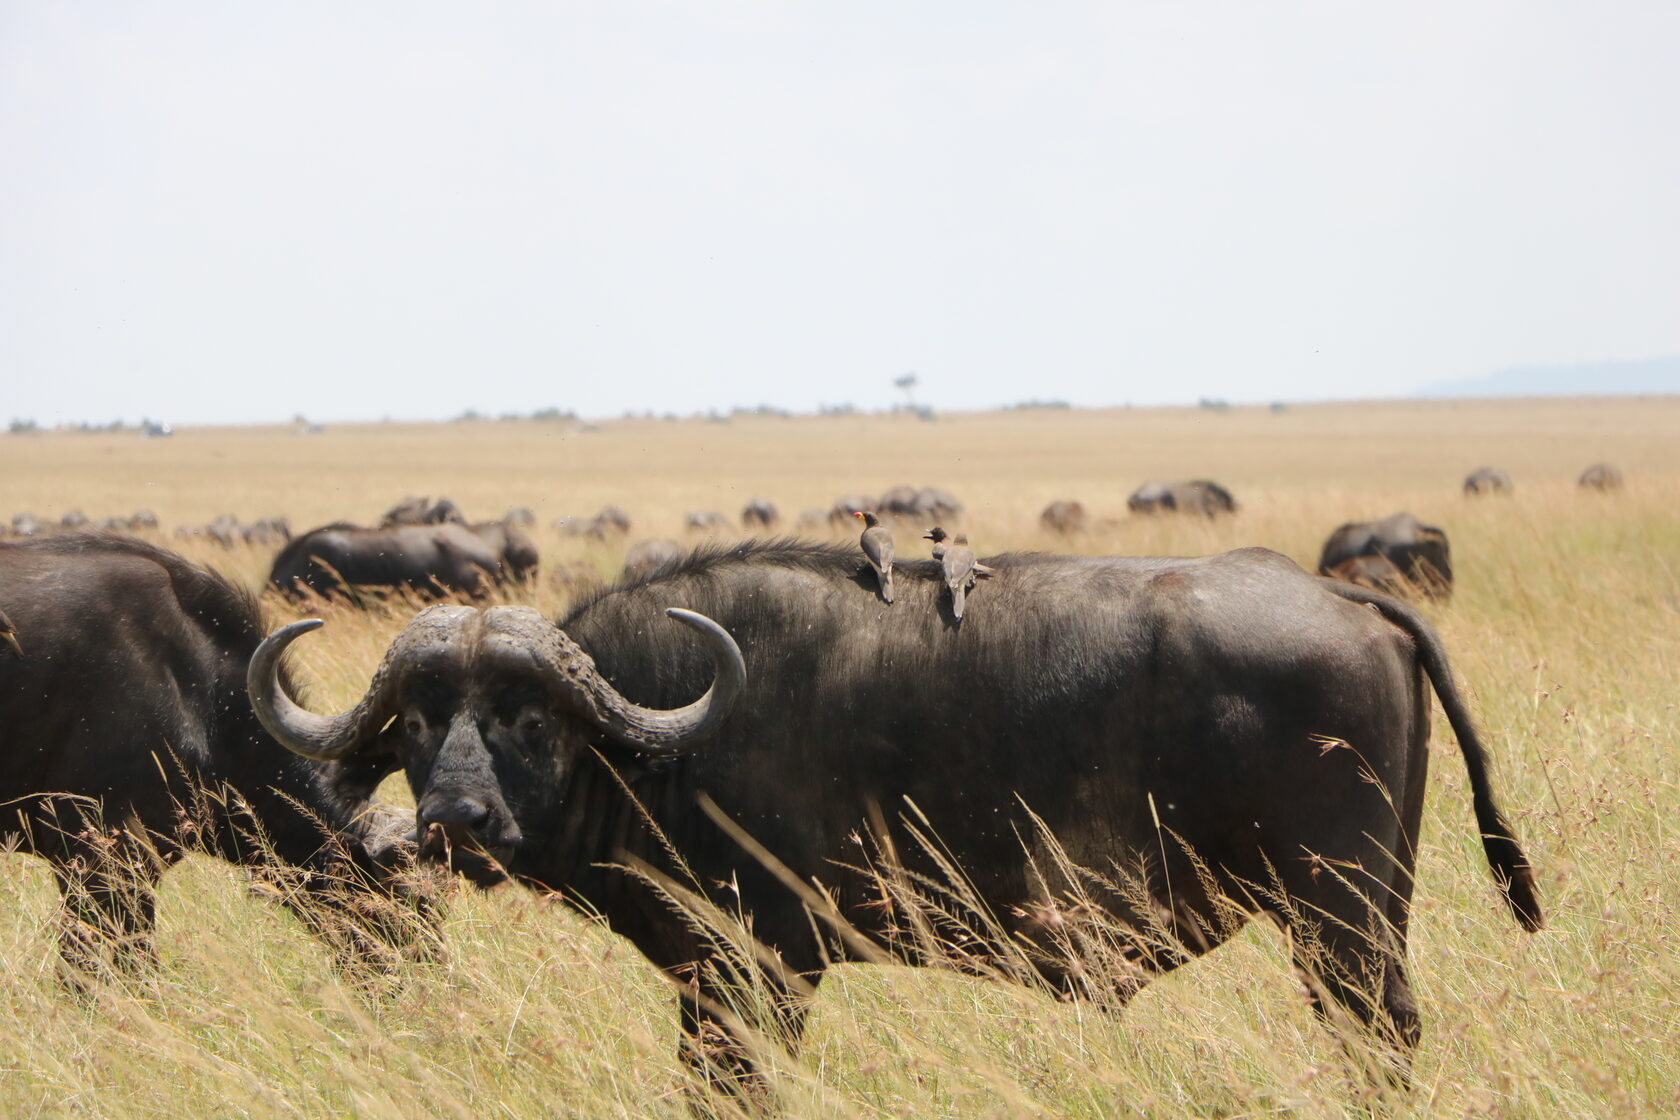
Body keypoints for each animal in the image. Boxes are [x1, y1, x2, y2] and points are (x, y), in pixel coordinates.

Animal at [253, 541, 1540, 1095]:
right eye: (422, 721)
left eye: (528, 716)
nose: (454, 819)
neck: (667, 730)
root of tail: (1348, 598)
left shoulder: (756, 974)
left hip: (1343, 926)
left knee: (1381, 1040)